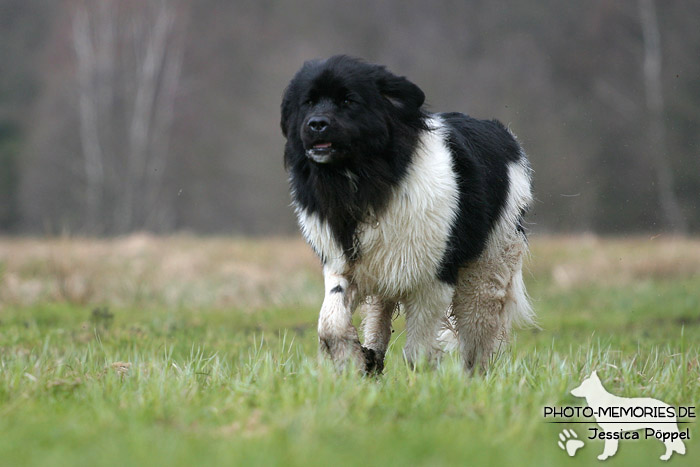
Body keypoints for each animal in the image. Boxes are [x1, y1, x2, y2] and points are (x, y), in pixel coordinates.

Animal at [282, 55, 532, 376]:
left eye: (348, 100)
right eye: (308, 102)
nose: (316, 124)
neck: (363, 180)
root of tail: (506, 135)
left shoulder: (434, 277)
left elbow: (419, 349)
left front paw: (422, 380)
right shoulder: (344, 263)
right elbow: (331, 322)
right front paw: (352, 360)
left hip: (487, 269)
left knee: (476, 335)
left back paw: (473, 379)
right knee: (380, 314)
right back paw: (373, 356)